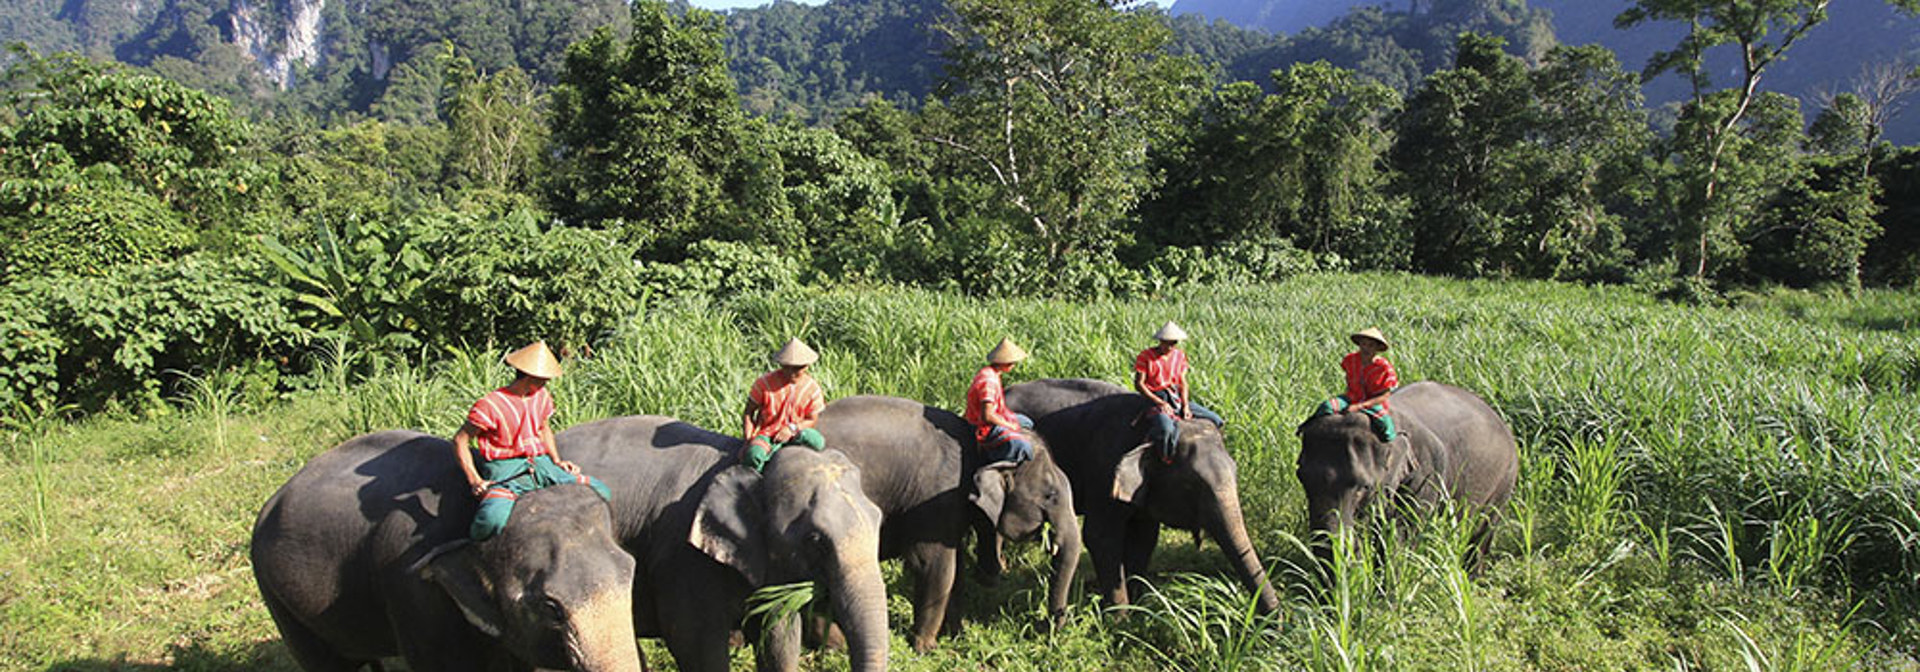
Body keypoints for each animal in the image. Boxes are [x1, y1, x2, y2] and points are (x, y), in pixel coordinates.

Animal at [552, 414, 887, 672]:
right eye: (815, 539)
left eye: (878, 520)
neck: (737, 460)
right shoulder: (684, 560)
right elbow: (694, 644)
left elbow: (779, 636)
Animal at [806, 393, 1082, 652]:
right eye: (1050, 495)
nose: (1043, 628)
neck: (978, 445)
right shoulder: (935, 498)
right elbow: (935, 566)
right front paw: (925, 647)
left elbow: (956, 570)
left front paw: (956, 634)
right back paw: (836, 645)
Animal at [998, 378, 1282, 614]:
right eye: (1191, 485)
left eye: (1235, 472)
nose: (1273, 623)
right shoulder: (1104, 471)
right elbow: (1100, 537)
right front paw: (1120, 620)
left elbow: (1144, 538)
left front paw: (1139, 607)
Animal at [1297, 380, 1520, 560]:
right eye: (1302, 478)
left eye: (1364, 487)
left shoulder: (1426, 474)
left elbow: (1401, 536)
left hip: (1505, 480)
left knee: (1483, 532)